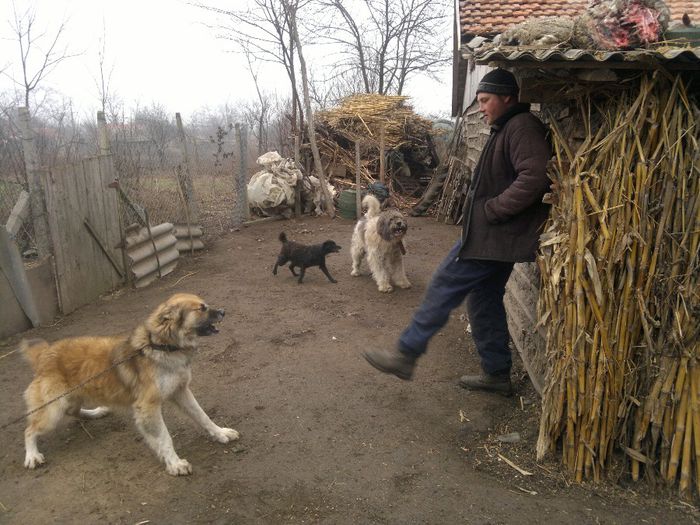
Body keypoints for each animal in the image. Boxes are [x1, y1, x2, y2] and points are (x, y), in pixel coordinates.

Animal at [21, 292, 238, 476]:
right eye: (201, 308)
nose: (223, 311)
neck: (162, 346)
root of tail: (44, 353)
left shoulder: (180, 391)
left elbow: (202, 416)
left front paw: (220, 433)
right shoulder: (147, 406)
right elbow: (164, 437)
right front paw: (175, 463)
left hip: (71, 398)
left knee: (73, 412)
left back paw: (96, 412)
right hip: (53, 411)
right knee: (30, 430)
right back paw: (32, 456)